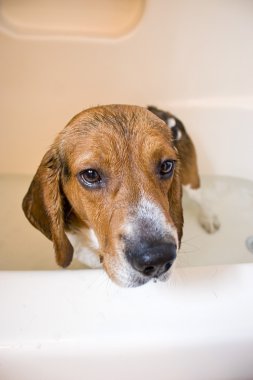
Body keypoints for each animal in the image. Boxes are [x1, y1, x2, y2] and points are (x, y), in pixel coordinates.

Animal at [22, 105, 219, 286]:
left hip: (191, 181)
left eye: (166, 166)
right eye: (90, 174)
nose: (158, 258)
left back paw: (208, 219)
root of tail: (160, 110)